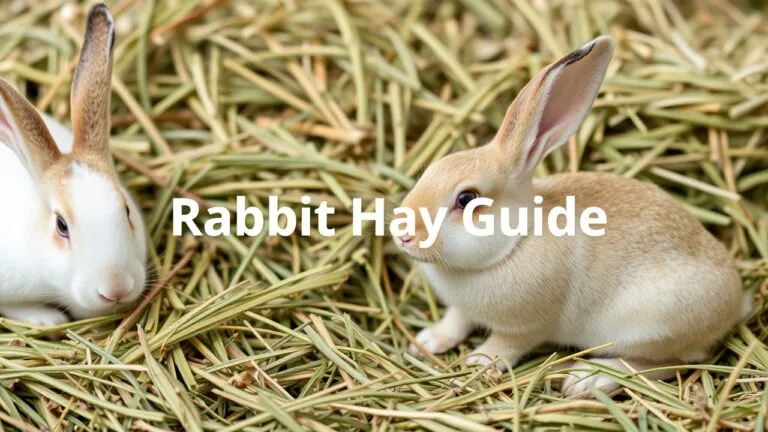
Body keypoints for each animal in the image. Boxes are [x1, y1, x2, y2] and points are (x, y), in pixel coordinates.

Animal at [395, 36, 752, 397]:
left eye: (467, 199)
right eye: (433, 169)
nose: (402, 232)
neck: (515, 241)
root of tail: (734, 302)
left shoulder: (523, 328)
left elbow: (504, 346)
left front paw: (476, 364)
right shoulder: (462, 309)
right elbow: (456, 320)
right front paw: (427, 341)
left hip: (652, 329)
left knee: (665, 365)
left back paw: (587, 379)